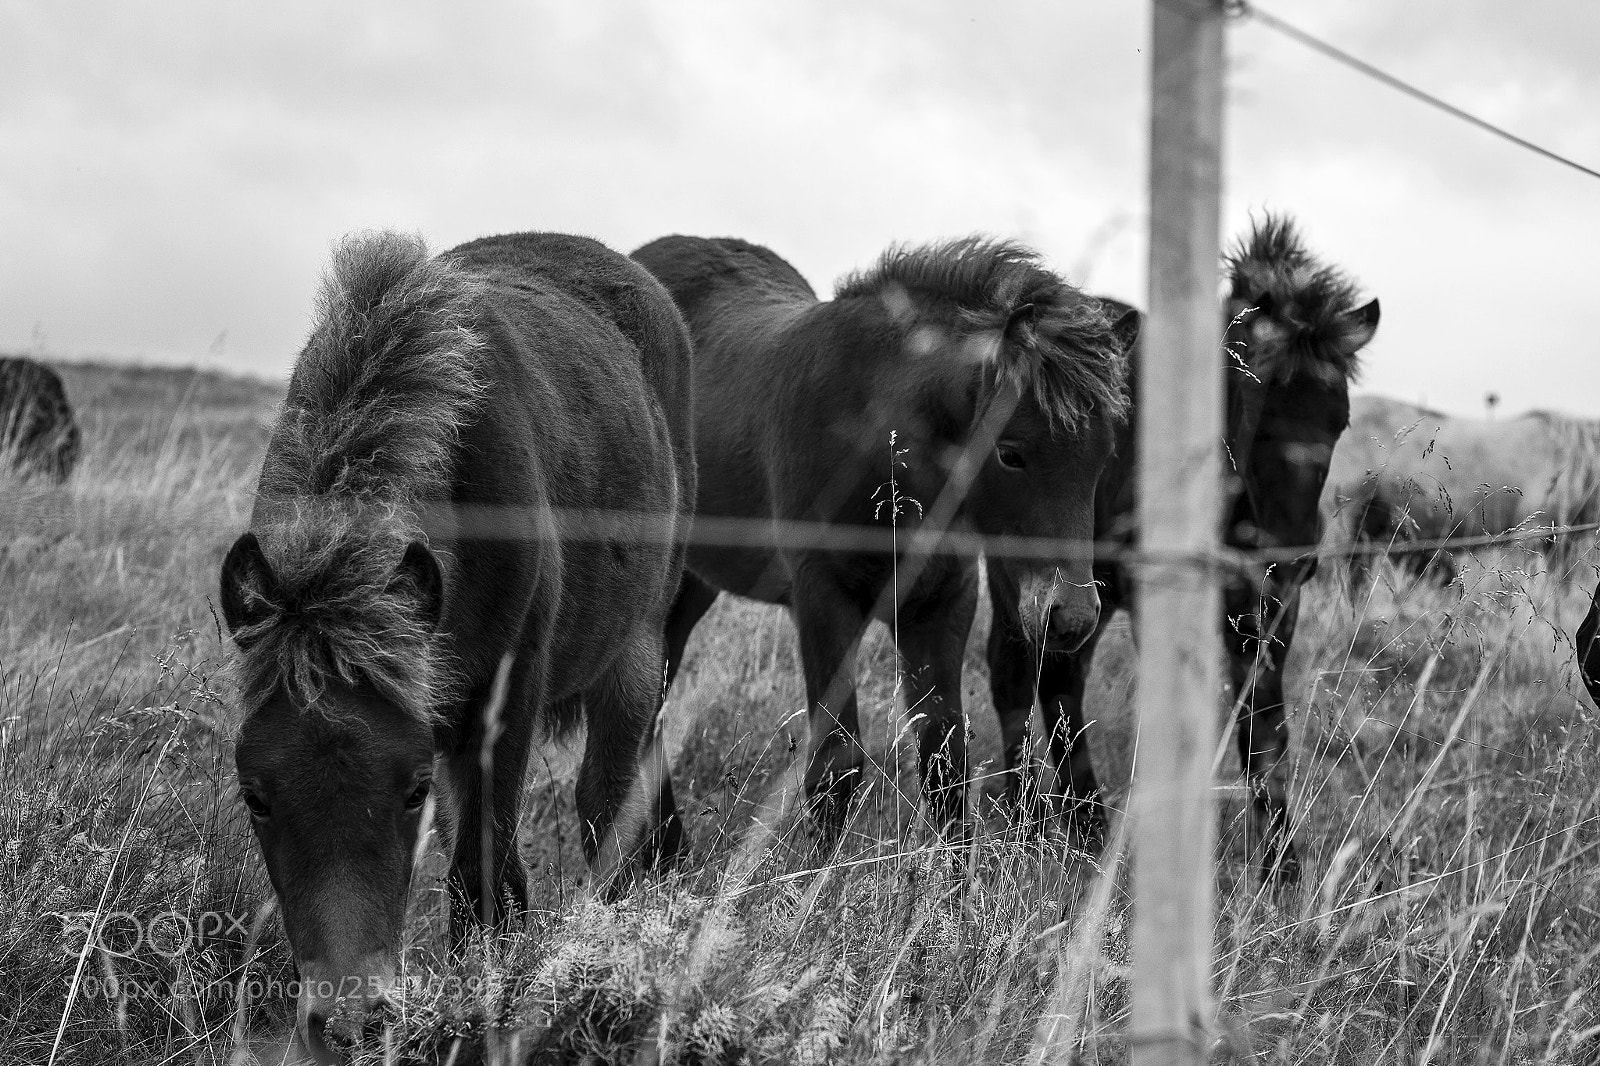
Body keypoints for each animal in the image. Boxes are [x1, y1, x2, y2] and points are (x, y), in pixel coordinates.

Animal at [219, 231, 694, 1060]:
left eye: (409, 791)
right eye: (256, 796)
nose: (348, 1024)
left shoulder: (505, 698)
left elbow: (479, 875)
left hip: (638, 656)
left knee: (608, 803)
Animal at [631, 234, 1136, 836]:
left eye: (1106, 456)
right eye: (1010, 454)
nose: (1072, 618)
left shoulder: (940, 603)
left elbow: (946, 762)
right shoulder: (822, 598)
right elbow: (836, 767)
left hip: (694, 582)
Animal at [986, 214, 1380, 883]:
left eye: (1340, 422)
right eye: (1257, 408)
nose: (1292, 555)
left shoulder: (1270, 612)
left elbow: (1266, 729)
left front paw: (1283, 867)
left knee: (1056, 676)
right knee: (1021, 668)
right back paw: (1047, 821)